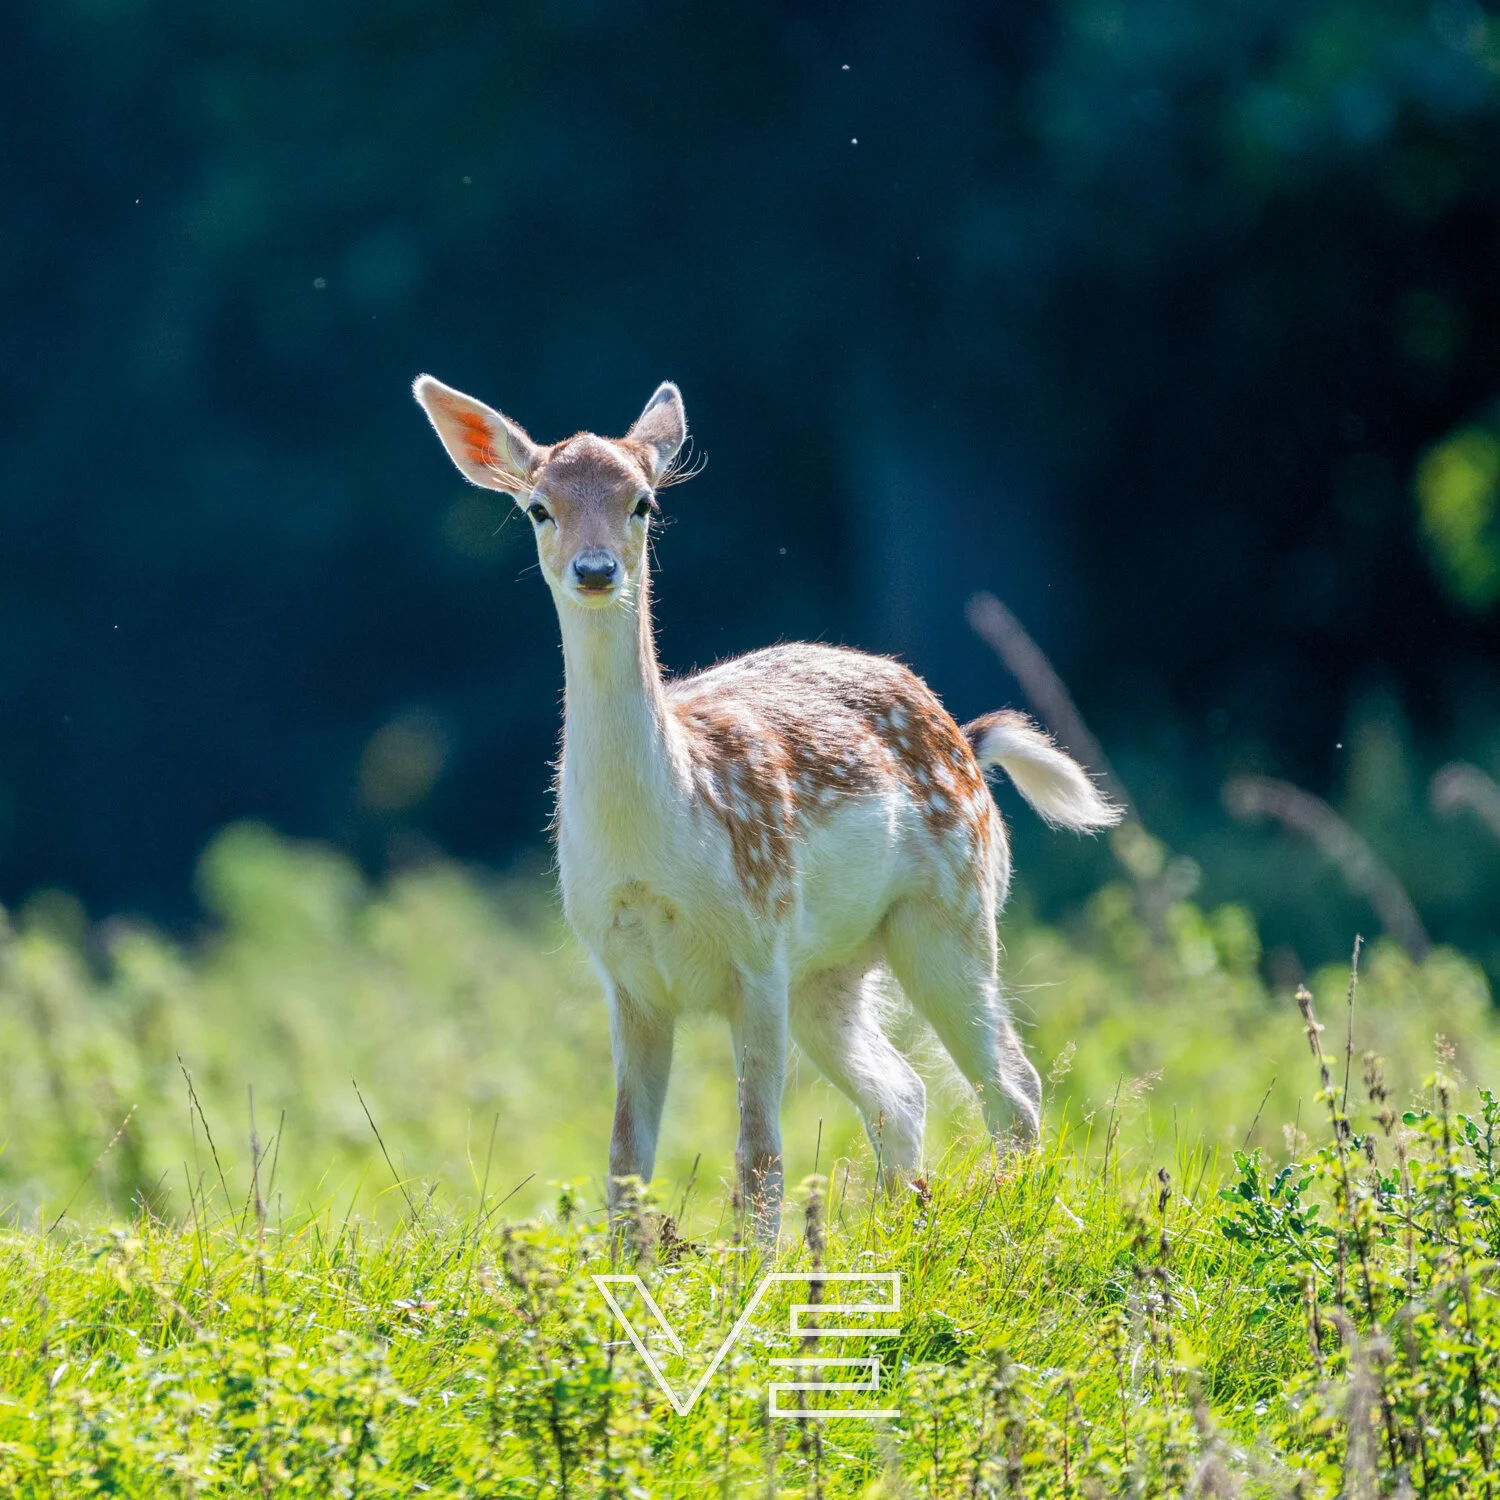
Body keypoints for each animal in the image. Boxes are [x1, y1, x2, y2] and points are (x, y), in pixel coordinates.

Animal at [413, 374, 1120, 1239]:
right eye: (538, 508)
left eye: (643, 501)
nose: (595, 570)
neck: (659, 845)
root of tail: (967, 736)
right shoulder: (625, 975)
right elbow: (624, 1163)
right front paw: (632, 1267)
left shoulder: (756, 945)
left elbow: (758, 1157)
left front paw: (756, 1268)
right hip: (828, 970)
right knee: (903, 1092)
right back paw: (903, 1230)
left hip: (949, 910)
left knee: (1012, 1085)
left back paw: (1016, 1224)